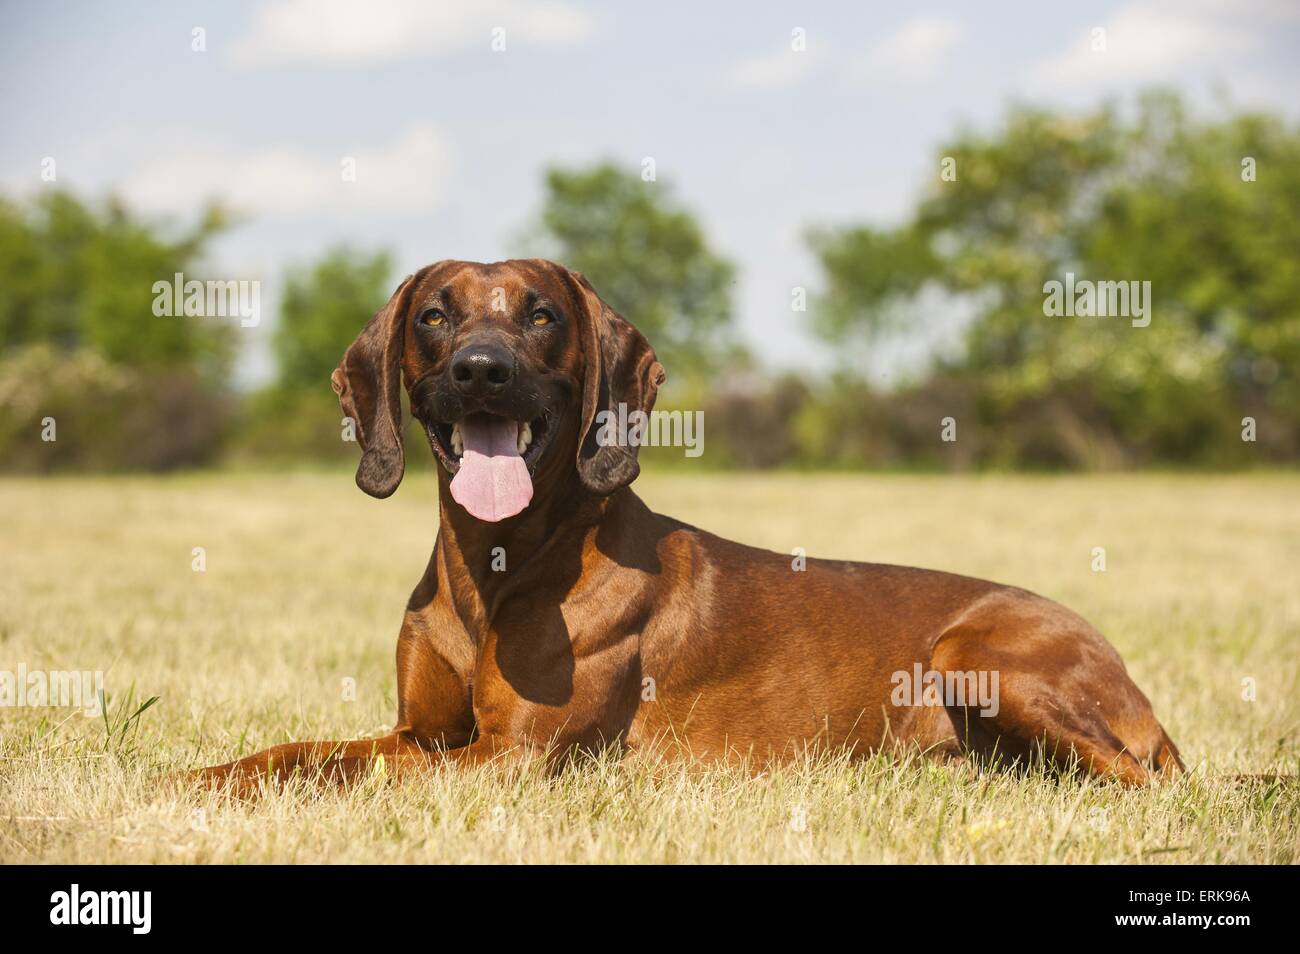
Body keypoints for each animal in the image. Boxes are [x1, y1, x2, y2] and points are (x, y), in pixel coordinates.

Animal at [197, 257, 1185, 795]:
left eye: (542, 315)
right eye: (435, 315)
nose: (481, 369)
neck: (499, 562)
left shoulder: (514, 757)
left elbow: (354, 773)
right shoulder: (424, 736)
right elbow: (295, 753)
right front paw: (192, 781)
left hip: (971, 654)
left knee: (1140, 782)